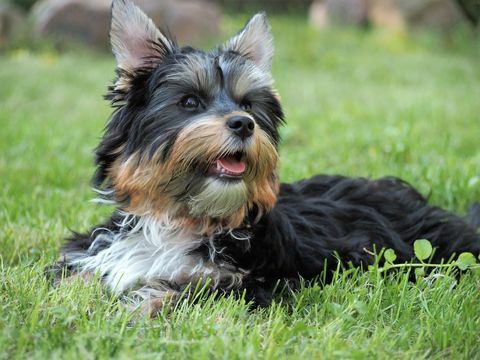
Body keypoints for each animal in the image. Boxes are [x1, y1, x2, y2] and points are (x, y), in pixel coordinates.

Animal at [52, 0, 480, 314]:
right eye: (190, 102)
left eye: (247, 105)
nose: (243, 124)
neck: (182, 218)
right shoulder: (102, 249)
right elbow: (75, 274)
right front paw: (63, 301)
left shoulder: (252, 282)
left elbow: (183, 291)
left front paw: (133, 310)